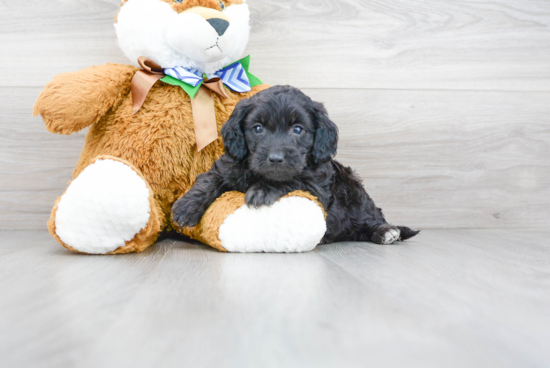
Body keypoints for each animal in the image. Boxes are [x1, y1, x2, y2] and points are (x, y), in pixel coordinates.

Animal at [175, 85, 420, 243]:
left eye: (298, 129)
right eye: (257, 128)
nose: (275, 158)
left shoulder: (316, 186)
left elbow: (291, 180)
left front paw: (263, 190)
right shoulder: (229, 165)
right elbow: (209, 179)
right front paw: (185, 207)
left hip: (355, 194)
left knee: (371, 217)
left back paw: (386, 231)